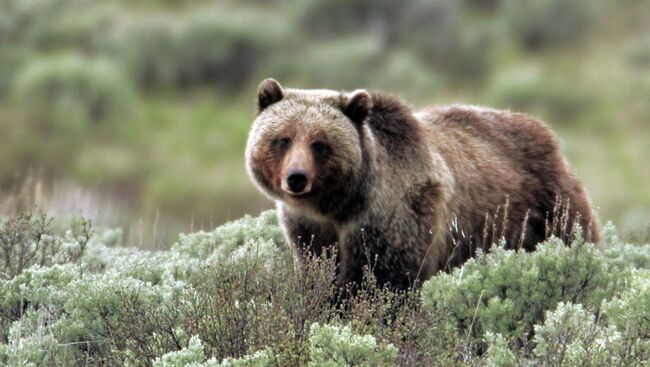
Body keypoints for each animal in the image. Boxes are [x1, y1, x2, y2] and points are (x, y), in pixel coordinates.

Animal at [246, 78, 600, 290]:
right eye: (283, 139)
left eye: (320, 143)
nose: (296, 178)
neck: (340, 204)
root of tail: (546, 132)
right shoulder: (309, 228)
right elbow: (320, 269)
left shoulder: (395, 215)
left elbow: (385, 278)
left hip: (545, 207)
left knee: (572, 234)